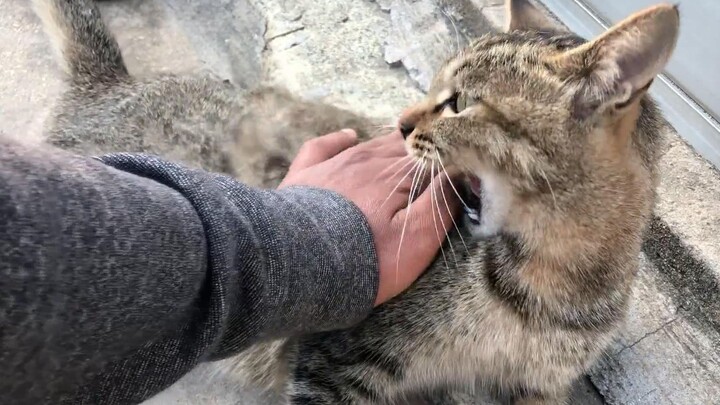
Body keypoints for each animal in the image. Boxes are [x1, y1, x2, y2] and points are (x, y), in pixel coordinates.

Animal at [33, 0, 676, 404]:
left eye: (460, 102)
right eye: (434, 87)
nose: (401, 124)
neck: (551, 278)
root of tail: (109, 85)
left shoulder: (540, 386)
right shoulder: (337, 358)